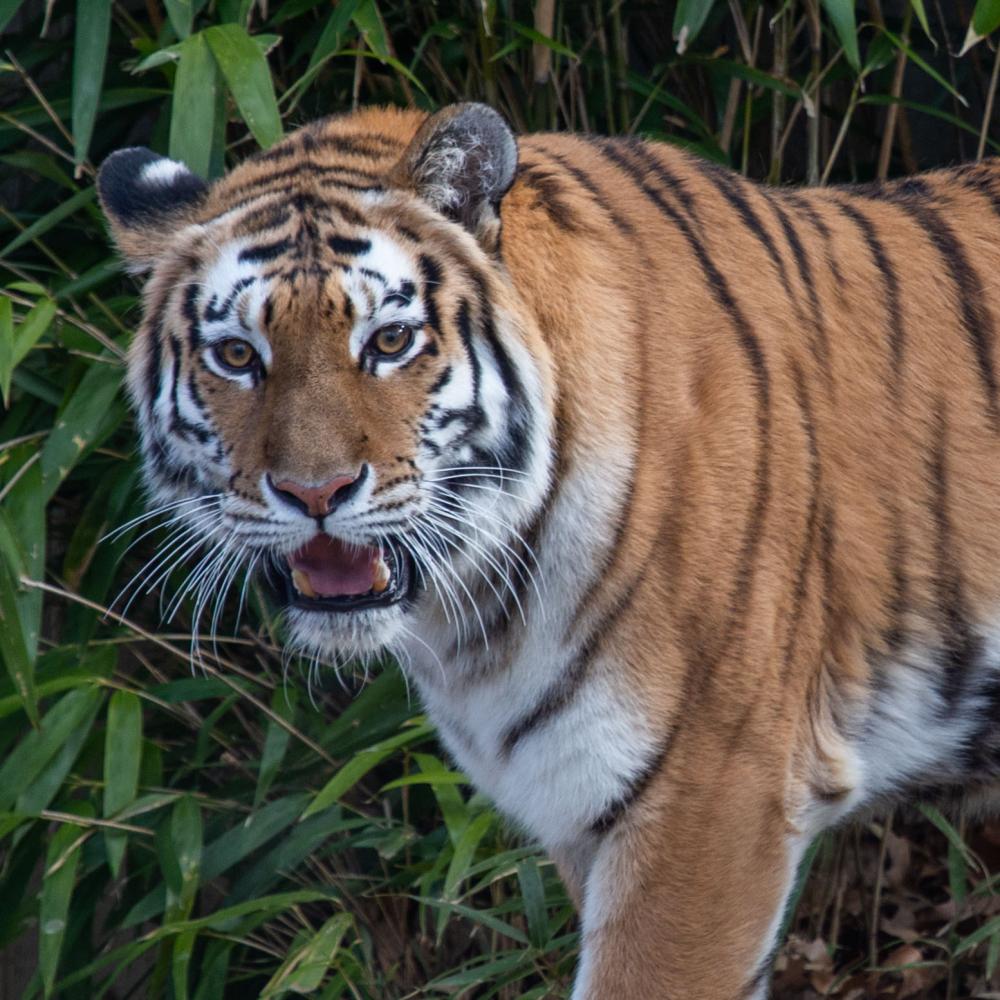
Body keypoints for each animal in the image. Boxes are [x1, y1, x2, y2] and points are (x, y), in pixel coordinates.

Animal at [95, 105, 1000, 996]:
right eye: (237, 355)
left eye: (388, 342)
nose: (316, 494)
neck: (479, 611)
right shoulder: (579, 806)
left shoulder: (711, 799)